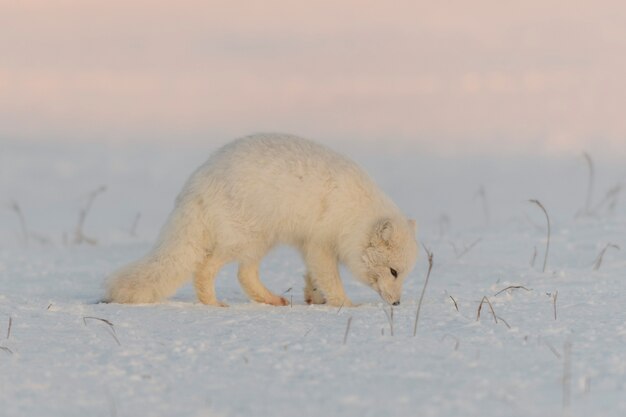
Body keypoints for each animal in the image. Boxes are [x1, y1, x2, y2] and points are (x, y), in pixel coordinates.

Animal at [105, 133, 416, 306]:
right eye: (393, 272)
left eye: (403, 275)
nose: (397, 303)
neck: (354, 214)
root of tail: (197, 183)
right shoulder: (320, 243)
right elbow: (330, 278)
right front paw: (347, 307)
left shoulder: (308, 244)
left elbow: (313, 276)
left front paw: (314, 298)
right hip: (247, 239)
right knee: (206, 269)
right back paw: (214, 305)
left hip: (259, 242)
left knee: (245, 274)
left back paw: (272, 300)